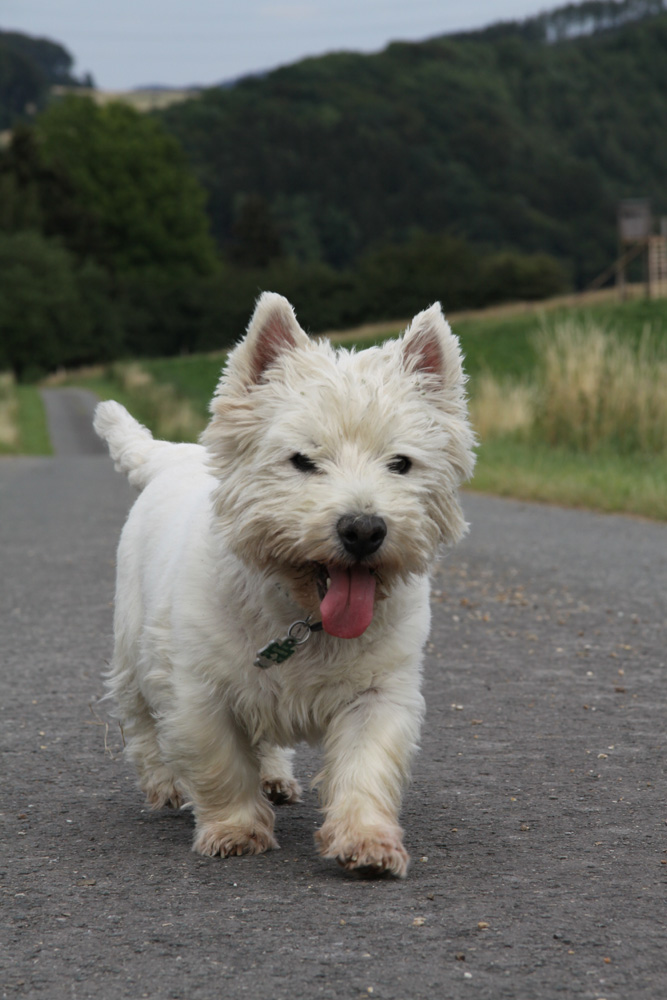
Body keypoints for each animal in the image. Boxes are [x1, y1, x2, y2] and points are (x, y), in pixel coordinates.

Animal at [96, 292, 478, 876]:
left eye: (401, 463)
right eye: (302, 459)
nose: (363, 529)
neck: (304, 615)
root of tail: (173, 455)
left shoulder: (378, 692)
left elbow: (367, 765)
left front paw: (368, 842)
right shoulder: (199, 689)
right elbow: (220, 761)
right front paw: (235, 830)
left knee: (267, 742)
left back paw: (275, 777)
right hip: (132, 642)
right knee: (139, 721)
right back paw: (164, 786)